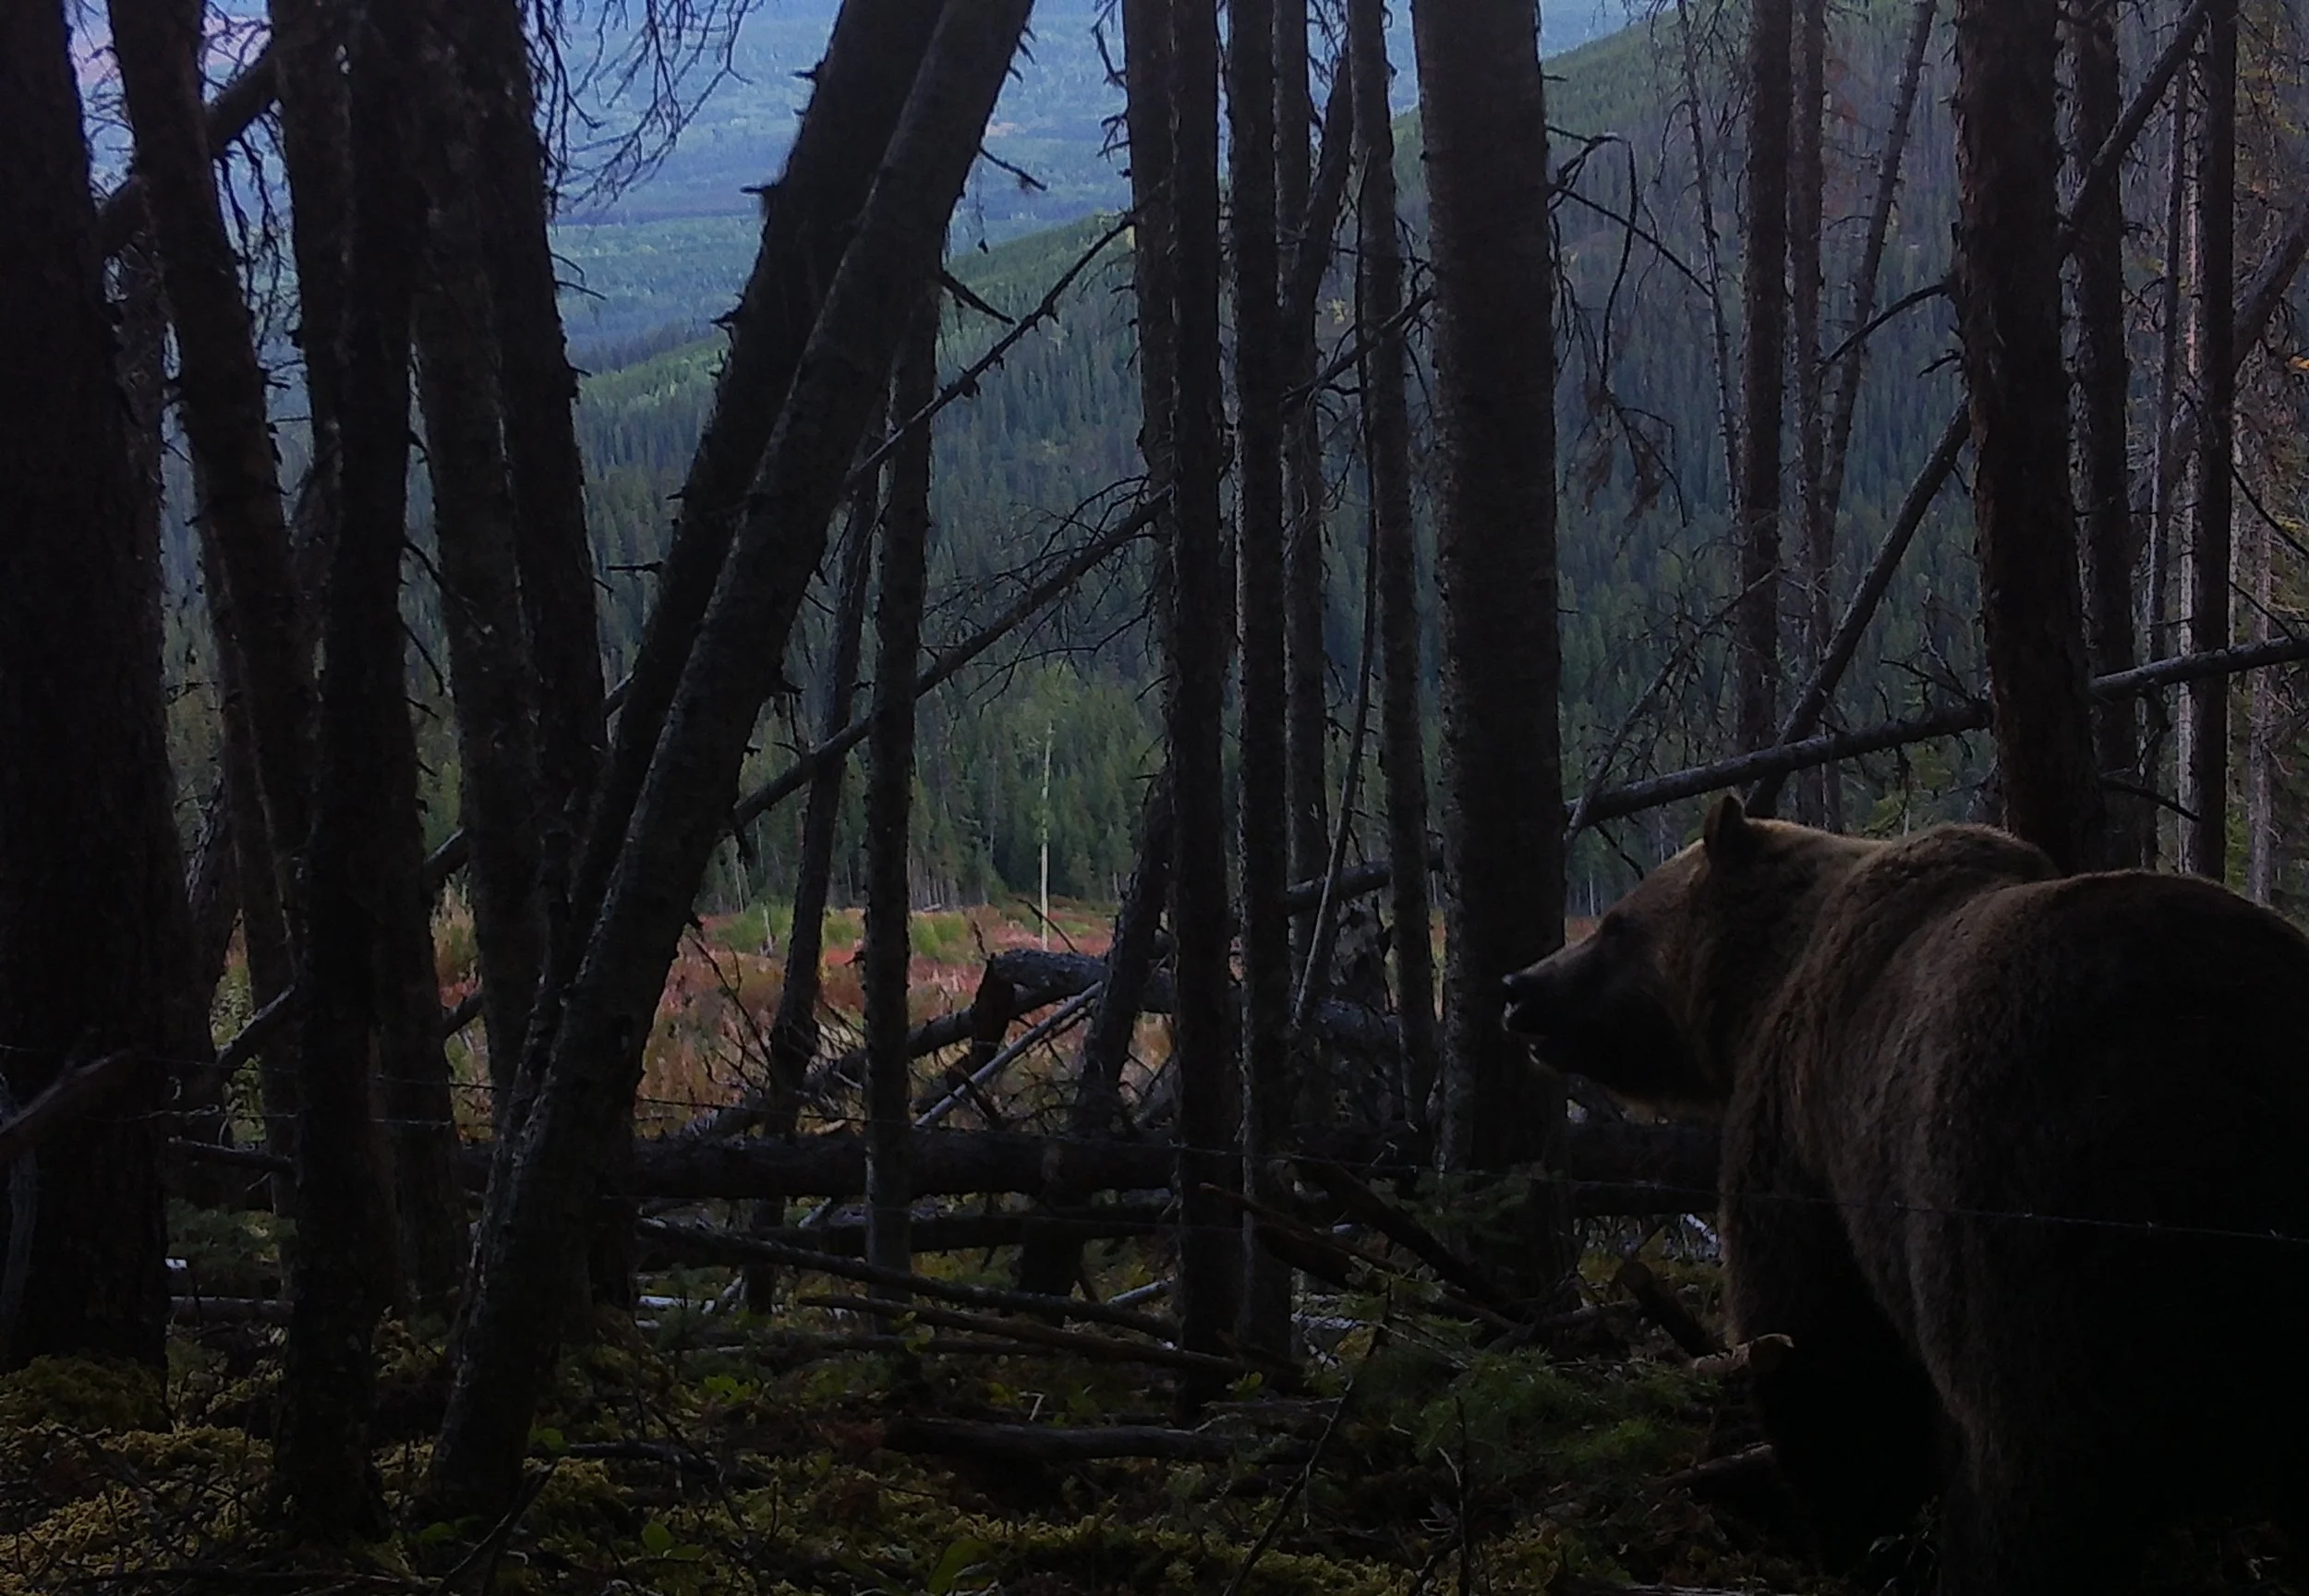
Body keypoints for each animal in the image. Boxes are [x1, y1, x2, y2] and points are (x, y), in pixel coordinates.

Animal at [1502, 795, 2309, 1593]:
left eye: (1617, 924)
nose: (1520, 985)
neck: (1763, 985)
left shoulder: (1804, 1139)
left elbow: (1820, 1343)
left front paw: (1854, 1533)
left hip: (2028, 1219)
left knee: (2031, 1470)